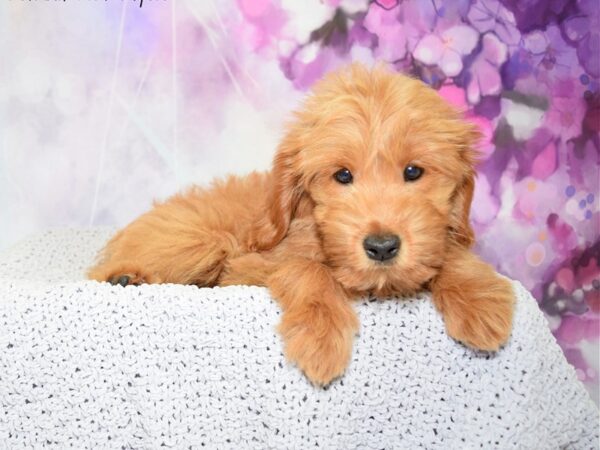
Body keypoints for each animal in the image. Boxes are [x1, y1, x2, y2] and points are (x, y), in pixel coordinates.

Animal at [86, 65, 512, 384]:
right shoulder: (248, 266)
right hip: (200, 241)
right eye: (342, 176)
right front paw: (321, 337)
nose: (381, 247)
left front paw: (480, 302)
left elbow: (450, 253)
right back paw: (127, 277)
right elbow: (307, 269)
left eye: (413, 172)